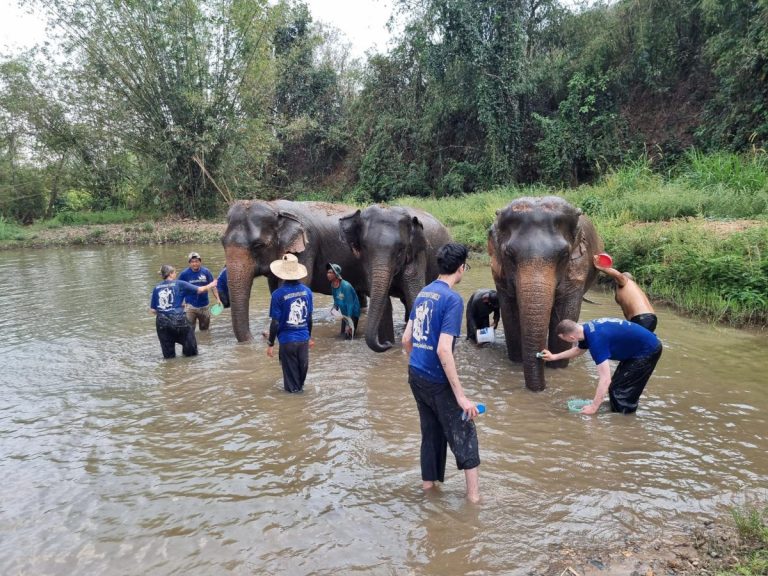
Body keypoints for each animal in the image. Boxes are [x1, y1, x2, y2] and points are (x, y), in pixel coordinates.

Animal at [222, 200, 367, 342]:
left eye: (258, 245)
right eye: (222, 242)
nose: (253, 339)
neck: (274, 207)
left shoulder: (305, 247)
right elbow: (275, 289)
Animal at [339, 205, 452, 352]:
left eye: (400, 249)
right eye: (364, 247)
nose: (386, 345)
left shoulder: (418, 255)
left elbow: (415, 296)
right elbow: (385, 304)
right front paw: (389, 343)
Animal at [488, 196, 603, 391]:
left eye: (564, 254)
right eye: (508, 254)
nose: (540, 389)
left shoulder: (577, 270)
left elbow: (565, 314)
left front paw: (556, 368)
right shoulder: (500, 274)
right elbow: (509, 315)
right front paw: (517, 363)